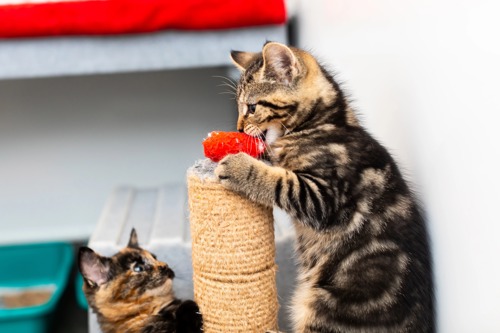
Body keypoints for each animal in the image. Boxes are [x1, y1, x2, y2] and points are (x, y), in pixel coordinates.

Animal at [215, 42, 434, 330]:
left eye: (251, 107)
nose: (239, 129)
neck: (327, 123)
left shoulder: (324, 198)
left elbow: (281, 182)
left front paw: (239, 166)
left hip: (325, 306)